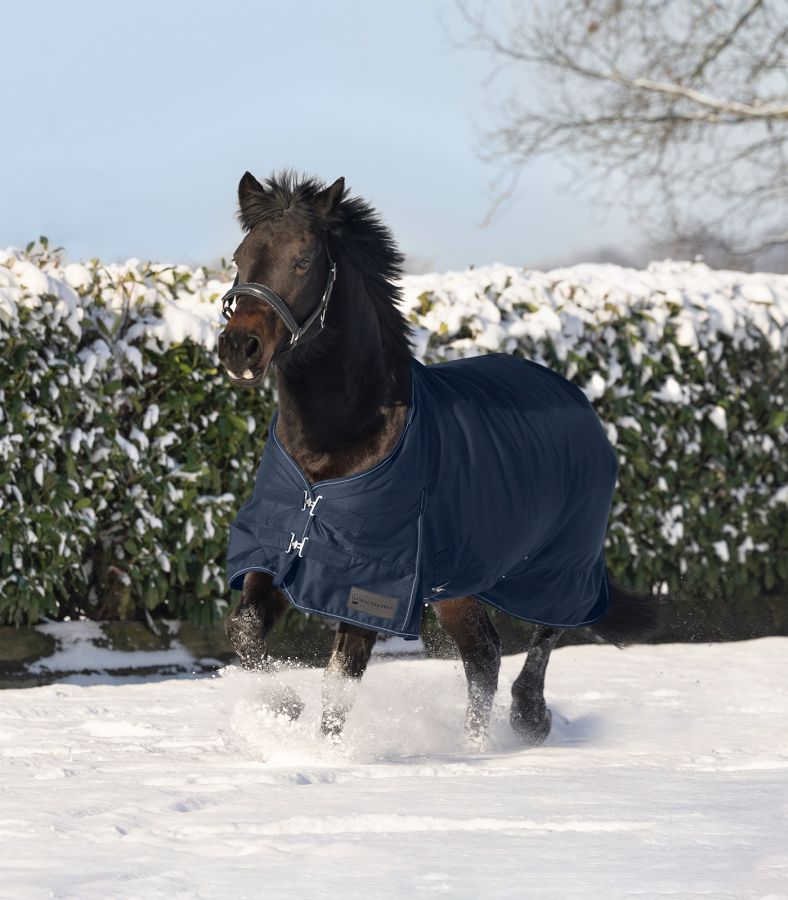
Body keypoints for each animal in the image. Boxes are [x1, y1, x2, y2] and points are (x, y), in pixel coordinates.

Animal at [215, 169, 660, 744]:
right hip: (459, 581)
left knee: (545, 633)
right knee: (483, 653)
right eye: (240, 256)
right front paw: (282, 709)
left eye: (304, 261)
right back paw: (475, 745)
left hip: (561, 564)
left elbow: (340, 680)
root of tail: (579, 401)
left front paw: (320, 753)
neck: (333, 450)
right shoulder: (275, 550)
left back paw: (528, 720)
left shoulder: (373, 582)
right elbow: (244, 630)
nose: (239, 347)